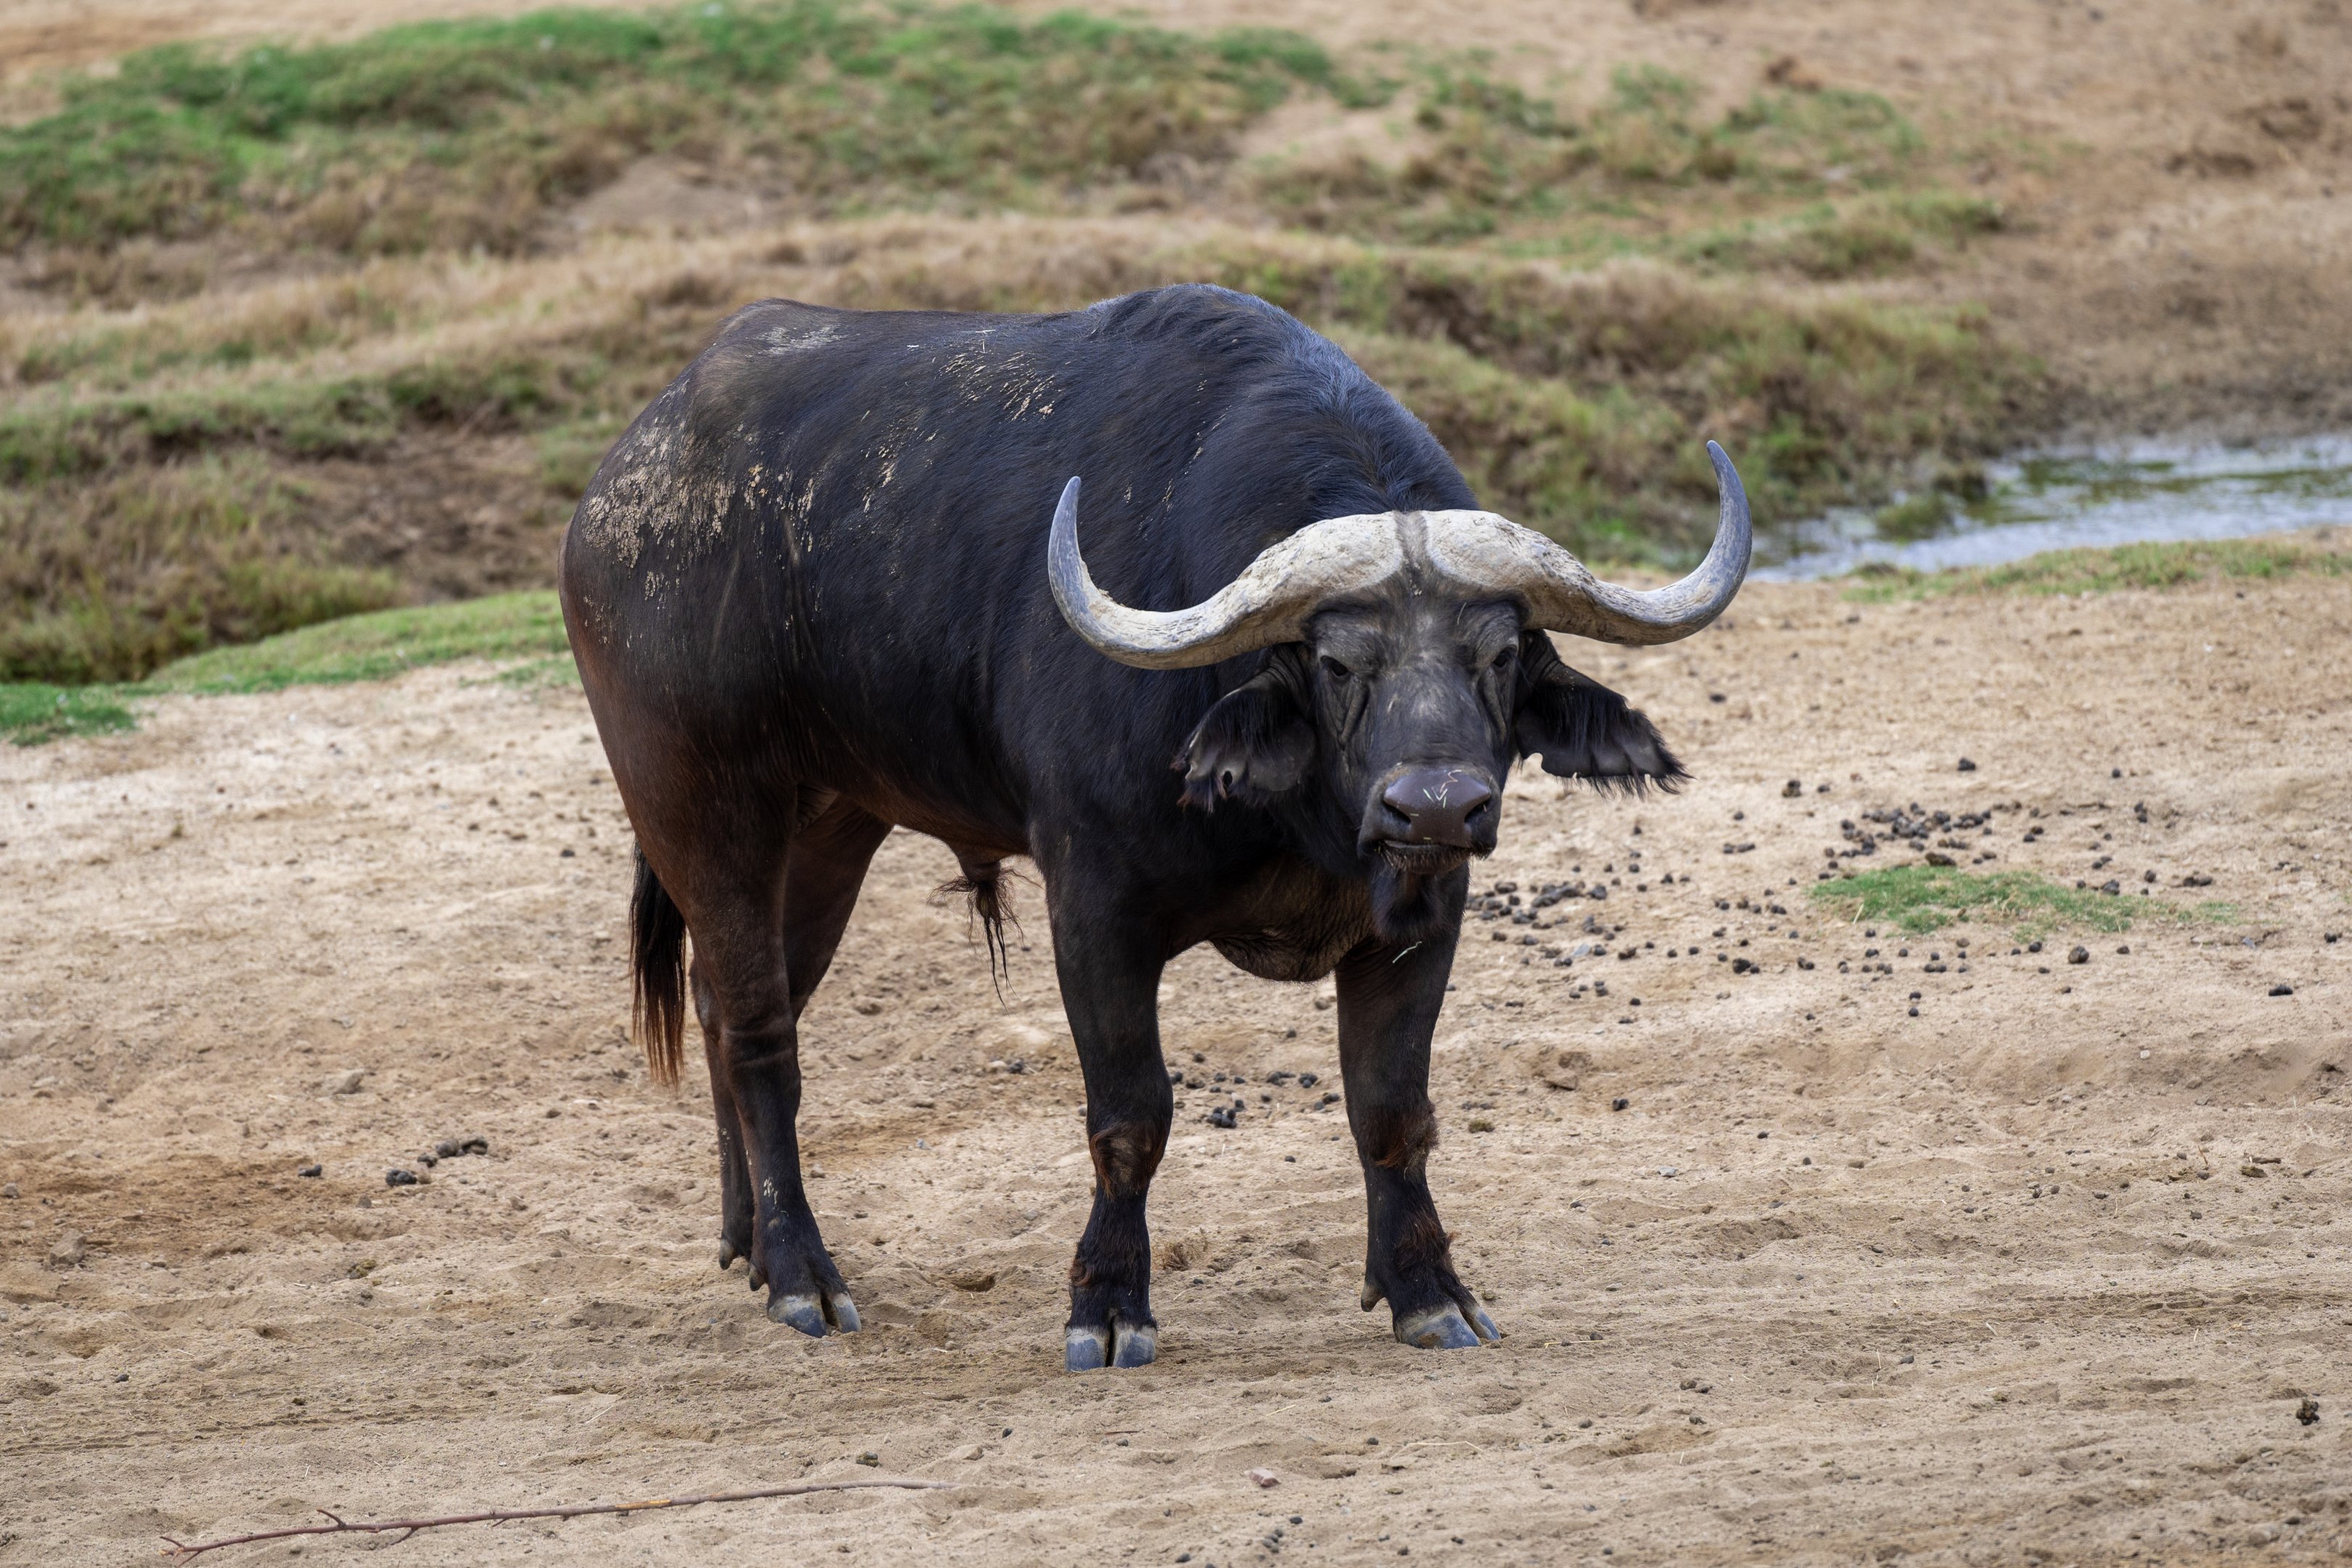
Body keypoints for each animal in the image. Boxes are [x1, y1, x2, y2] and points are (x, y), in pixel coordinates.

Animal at [559, 283, 1749, 1368]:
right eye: (1336, 661)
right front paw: (1107, 1305)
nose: (1436, 804)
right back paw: (804, 1277)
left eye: (1500, 656)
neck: (1296, 819)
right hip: (699, 801)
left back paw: (748, 1243)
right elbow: (1131, 1117)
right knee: (761, 1030)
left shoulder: (1424, 915)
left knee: (724, 1006)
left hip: (833, 821)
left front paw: (1427, 1291)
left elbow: (1392, 1111)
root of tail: (621, 487)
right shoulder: (1095, 913)